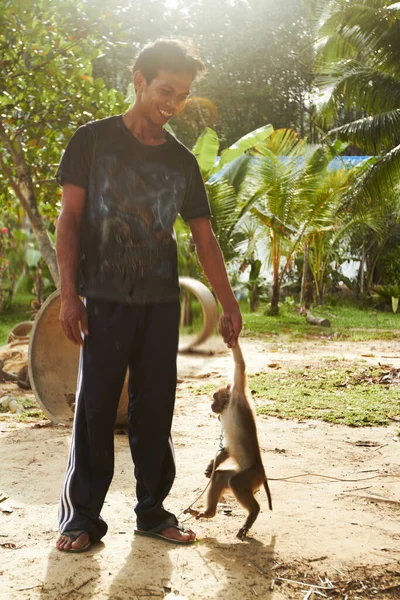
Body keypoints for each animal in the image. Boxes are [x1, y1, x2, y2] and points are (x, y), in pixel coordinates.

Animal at [188, 340, 272, 540]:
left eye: (214, 397)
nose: (211, 405)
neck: (228, 406)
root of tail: (262, 472)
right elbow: (226, 448)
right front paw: (211, 465)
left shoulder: (238, 393)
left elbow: (240, 365)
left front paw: (233, 341)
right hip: (247, 477)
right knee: (220, 477)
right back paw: (209, 512)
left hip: (250, 476)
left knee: (235, 483)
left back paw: (253, 512)